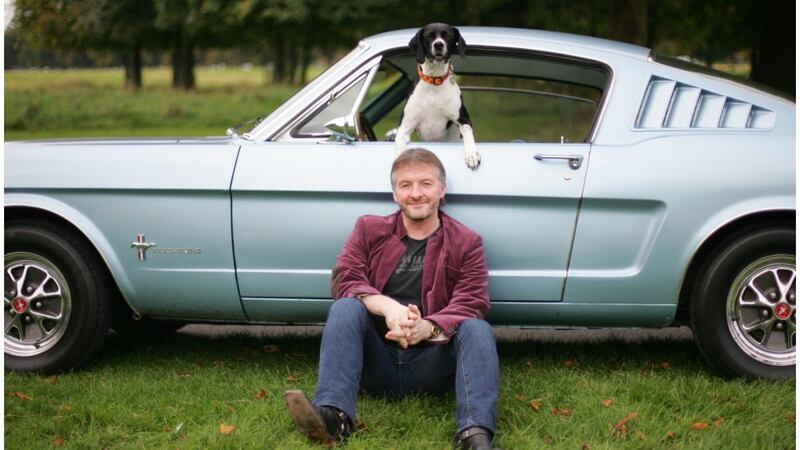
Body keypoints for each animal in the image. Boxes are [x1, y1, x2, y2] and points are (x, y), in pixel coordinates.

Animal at [396, 23, 482, 170]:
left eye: (448, 35)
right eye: (428, 36)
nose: (438, 45)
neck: (434, 80)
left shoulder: (463, 120)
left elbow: (468, 134)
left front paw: (471, 154)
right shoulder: (404, 127)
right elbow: (400, 143)